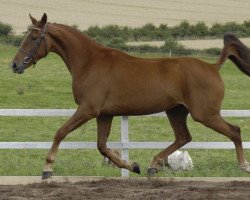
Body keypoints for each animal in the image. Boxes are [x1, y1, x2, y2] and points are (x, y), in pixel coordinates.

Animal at [10, 13, 250, 178]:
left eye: (34, 37)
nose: (14, 65)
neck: (89, 62)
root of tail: (213, 67)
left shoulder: (88, 110)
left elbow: (61, 133)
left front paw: (47, 168)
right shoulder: (104, 114)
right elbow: (102, 146)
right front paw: (132, 166)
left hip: (205, 114)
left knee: (234, 131)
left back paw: (243, 166)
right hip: (176, 111)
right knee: (184, 137)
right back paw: (152, 165)